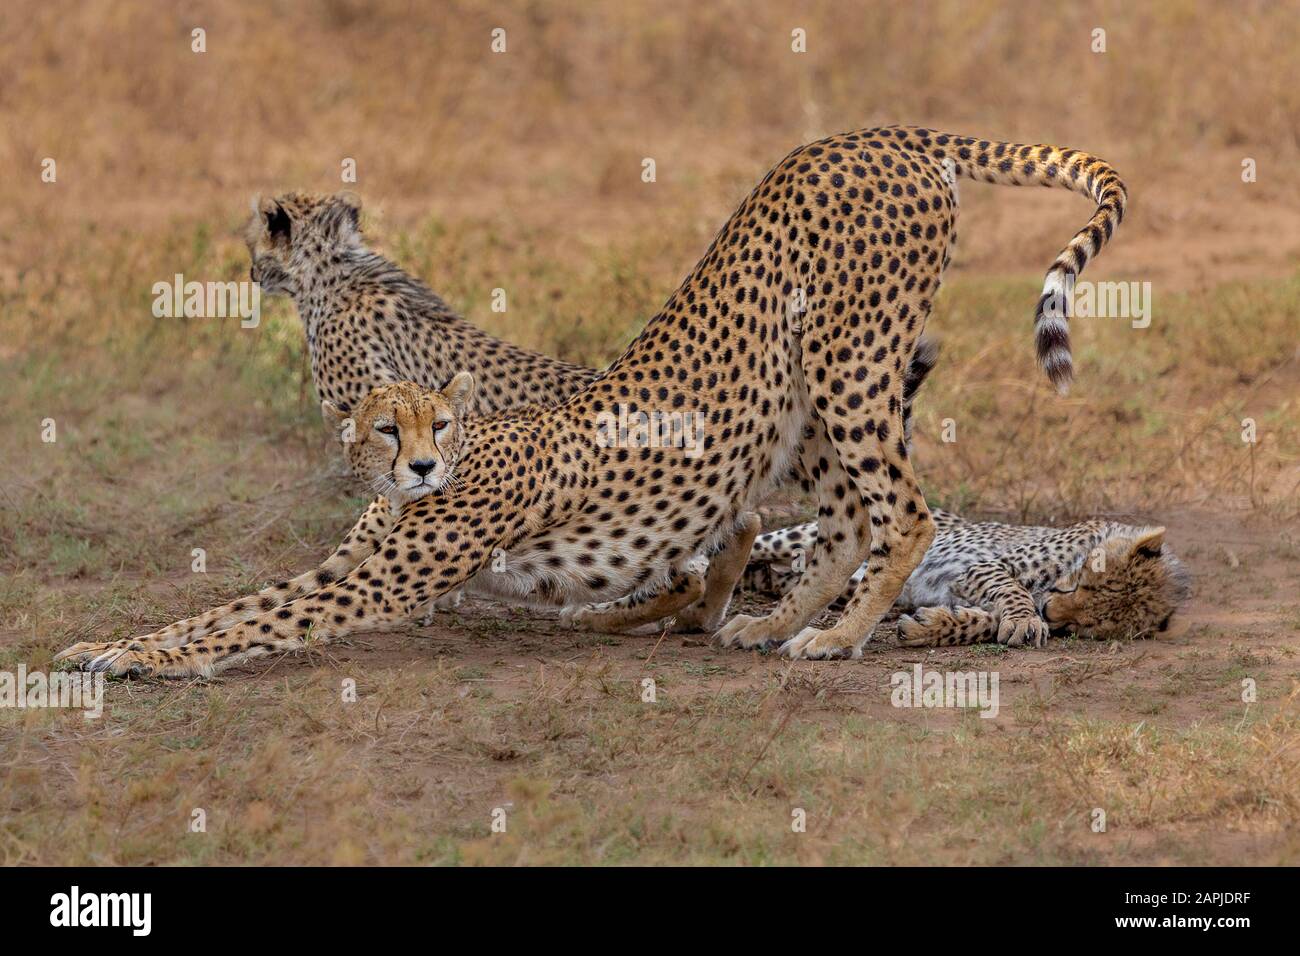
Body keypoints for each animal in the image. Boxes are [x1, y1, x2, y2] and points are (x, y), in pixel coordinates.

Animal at [58, 127, 1128, 676]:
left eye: (437, 424)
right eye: (389, 427)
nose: (421, 465)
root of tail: (878, 132)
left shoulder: (383, 578)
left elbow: (248, 622)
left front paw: (143, 662)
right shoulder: (361, 552)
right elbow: (233, 606)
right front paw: (104, 646)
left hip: (847, 358)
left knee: (901, 511)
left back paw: (830, 636)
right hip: (802, 387)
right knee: (840, 519)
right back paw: (770, 623)